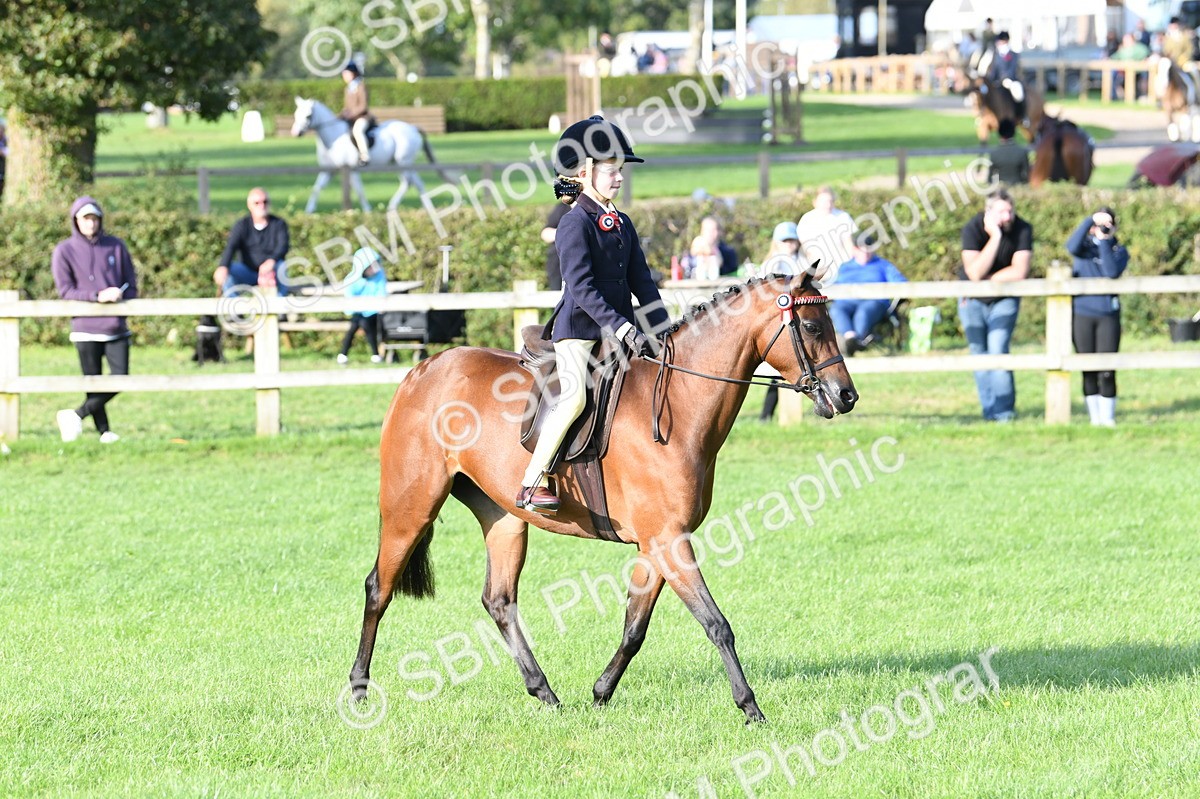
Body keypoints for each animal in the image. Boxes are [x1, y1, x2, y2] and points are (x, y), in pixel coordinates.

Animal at [290, 97, 453, 213]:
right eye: (296, 114)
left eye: (308, 115)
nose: (295, 133)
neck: (334, 138)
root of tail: (413, 128)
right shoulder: (328, 171)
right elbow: (316, 188)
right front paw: (308, 211)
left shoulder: (351, 170)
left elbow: (359, 191)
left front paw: (367, 211)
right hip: (397, 163)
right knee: (416, 183)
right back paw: (427, 207)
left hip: (403, 162)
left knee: (408, 182)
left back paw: (393, 205)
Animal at [348, 274, 859, 723]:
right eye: (813, 327)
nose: (846, 396)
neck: (680, 401)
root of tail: (422, 370)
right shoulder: (670, 541)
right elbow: (717, 625)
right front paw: (751, 708)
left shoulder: (657, 544)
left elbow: (635, 627)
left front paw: (600, 693)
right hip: (410, 507)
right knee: (378, 588)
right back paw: (358, 690)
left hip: (503, 517)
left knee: (499, 600)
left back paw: (545, 693)